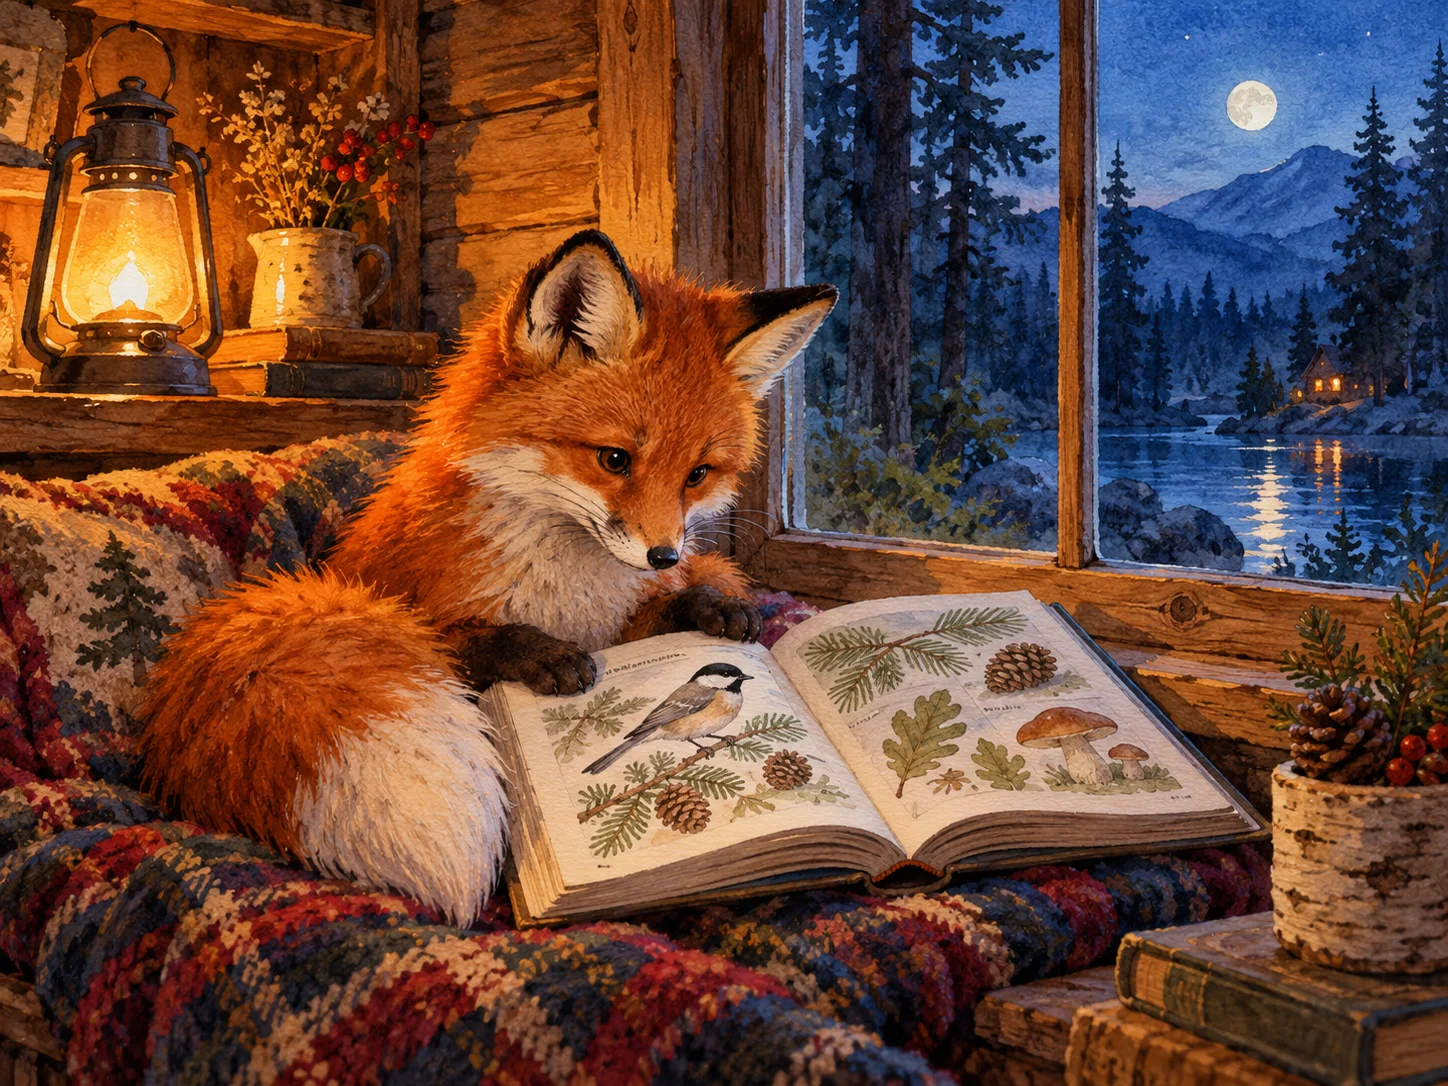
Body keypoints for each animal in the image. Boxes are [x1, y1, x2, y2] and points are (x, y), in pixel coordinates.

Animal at [140, 230, 836, 925]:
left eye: (697, 474)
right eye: (615, 458)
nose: (664, 557)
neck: (566, 591)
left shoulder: (624, 621)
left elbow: (669, 613)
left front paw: (709, 605)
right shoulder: (419, 609)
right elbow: (475, 639)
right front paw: (540, 654)